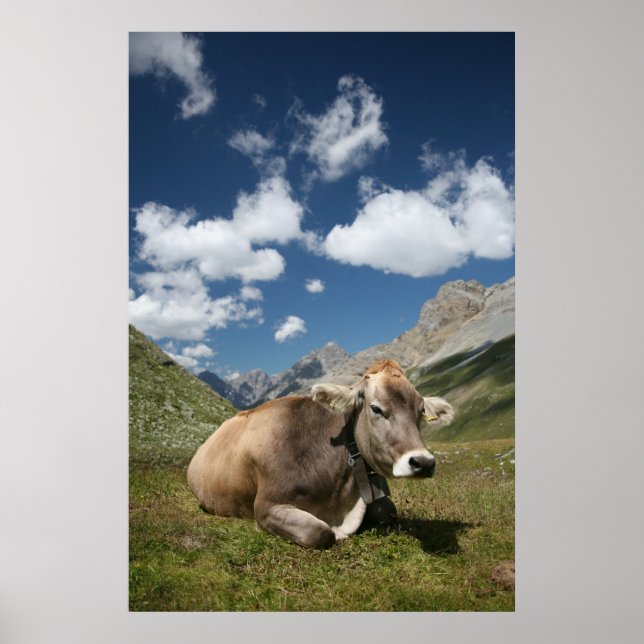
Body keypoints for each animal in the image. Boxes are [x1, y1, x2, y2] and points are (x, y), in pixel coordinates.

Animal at [187, 359, 454, 549]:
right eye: (376, 408)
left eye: (420, 411)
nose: (423, 462)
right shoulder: (266, 506)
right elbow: (320, 533)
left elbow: (388, 512)